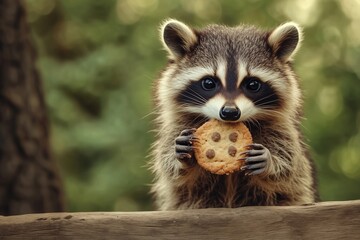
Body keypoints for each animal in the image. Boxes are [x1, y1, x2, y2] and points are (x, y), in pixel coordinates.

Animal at [149, 19, 318, 210]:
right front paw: (180, 156)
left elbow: (289, 164)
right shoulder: (179, 124)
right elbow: (170, 166)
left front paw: (270, 162)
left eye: (253, 84)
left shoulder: (281, 128)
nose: (230, 113)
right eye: (208, 83)